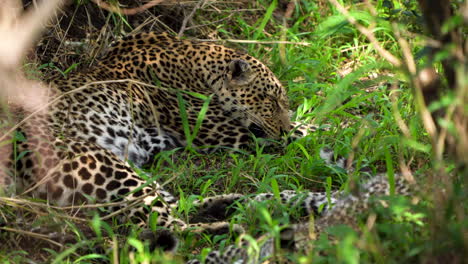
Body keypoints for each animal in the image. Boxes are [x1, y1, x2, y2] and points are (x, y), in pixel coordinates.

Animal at [0, 32, 318, 251]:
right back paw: (229, 227)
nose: (280, 129)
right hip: (103, 165)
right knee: (166, 225)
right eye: (271, 100)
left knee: (174, 205)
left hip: (130, 171)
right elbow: (307, 131)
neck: (196, 62)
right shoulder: (229, 132)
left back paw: (232, 203)